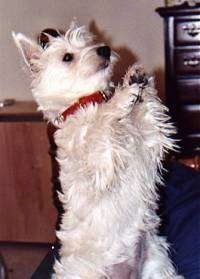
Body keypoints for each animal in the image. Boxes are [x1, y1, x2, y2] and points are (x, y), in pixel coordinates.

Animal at [12, 21, 184, 279]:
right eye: (67, 57)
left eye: (89, 42)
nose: (104, 49)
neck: (84, 103)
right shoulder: (98, 166)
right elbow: (101, 124)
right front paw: (121, 98)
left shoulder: (146, 147)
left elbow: (149, 123)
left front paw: (137, 79)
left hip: (156, 266)